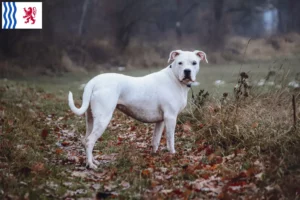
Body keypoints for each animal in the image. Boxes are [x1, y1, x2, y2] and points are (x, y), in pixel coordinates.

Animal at [69, 50, 207, 169]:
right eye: (180, 63)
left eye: (194, 63)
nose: (187, 71)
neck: (174, 78)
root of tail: (93, 81)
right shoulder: (171, 117)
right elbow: (170, 139)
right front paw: (173, 154)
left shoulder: (161, 121)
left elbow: (156, 141)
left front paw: (154, 155)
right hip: (103, 118)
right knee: (90, 141)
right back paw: (91, 165)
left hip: (91, 119)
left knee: (85, 139)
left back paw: (91, 161)